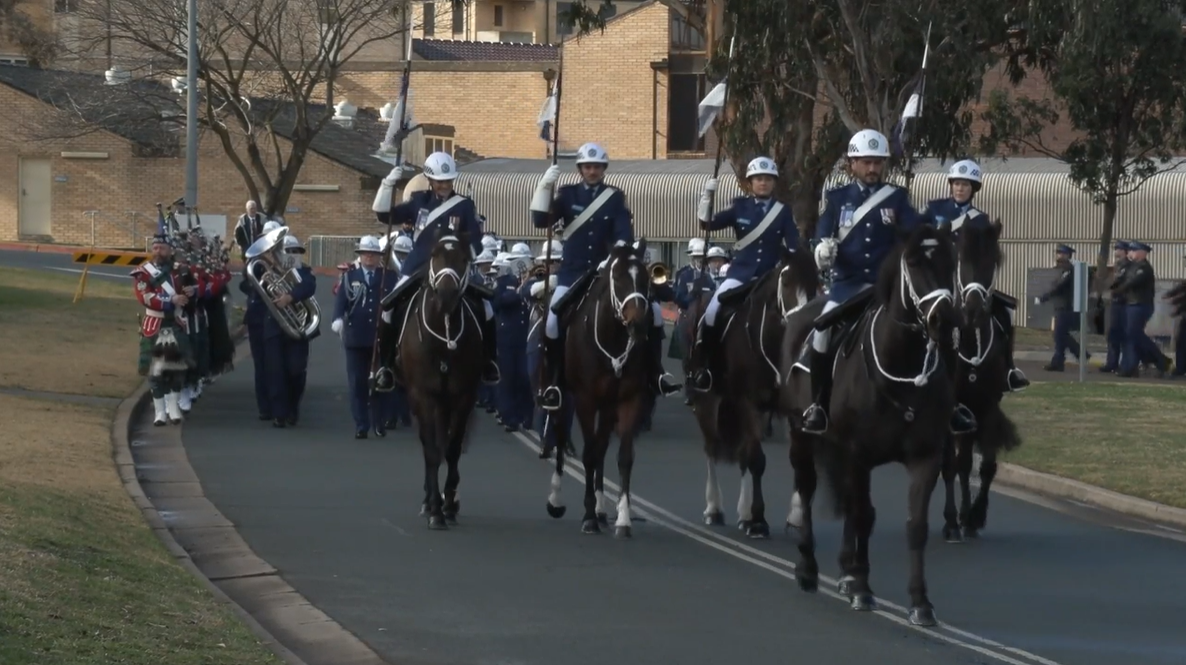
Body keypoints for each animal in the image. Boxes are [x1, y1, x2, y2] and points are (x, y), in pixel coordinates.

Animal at [381, 227, 488, 528]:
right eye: (433, 255)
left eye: (464, 258)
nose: (446, 295)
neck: (443, 334)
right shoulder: (422, 395)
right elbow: (431, 449)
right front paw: (435, 511)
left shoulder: (463, 395)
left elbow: (451, 448)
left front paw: (448, 504)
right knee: (430, 444)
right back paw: (429, 501)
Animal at [547, 238, 659, 533]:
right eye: (617, 278)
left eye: (645, 278)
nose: (638, 324)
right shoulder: (585, 399)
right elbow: (588, 454)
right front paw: (587, 517)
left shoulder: (629, 399)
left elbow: (623, 456)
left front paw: (623, 518)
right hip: (562, 397)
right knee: (561, 438)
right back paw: (556, 499)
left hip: (608, 405)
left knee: (601, 446)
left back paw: (600, 508)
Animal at [692, 246, 820, 535]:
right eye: (786, 281)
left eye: (817, 282)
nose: (805, 323)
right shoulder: (749, 403)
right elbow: (757, 460)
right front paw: (759, 520)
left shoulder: (794, 410)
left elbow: (797, 460)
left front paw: (796, 517)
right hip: (708, 401)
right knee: (711, 447)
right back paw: (714, 508)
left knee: (741, 454)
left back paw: (743, 512)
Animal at [782, 224, 958, 625]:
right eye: (913, 261)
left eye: (951, 260)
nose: (944, 321)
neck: (902, 364)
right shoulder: (858, 454)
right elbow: (862, 515)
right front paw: (863, 588)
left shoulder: (926, 457)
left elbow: (915, 525)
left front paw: (920, 602)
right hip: (801, 436)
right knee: (808, 489)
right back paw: (809, 568)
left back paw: (845, 572)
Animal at [939, 220, 1024, 542]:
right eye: (960, 259)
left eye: (994, 260)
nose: (974, 309)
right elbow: (950, 466)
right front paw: (952, 521)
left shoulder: (987, 406)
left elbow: (985, 466)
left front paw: (974, 517)